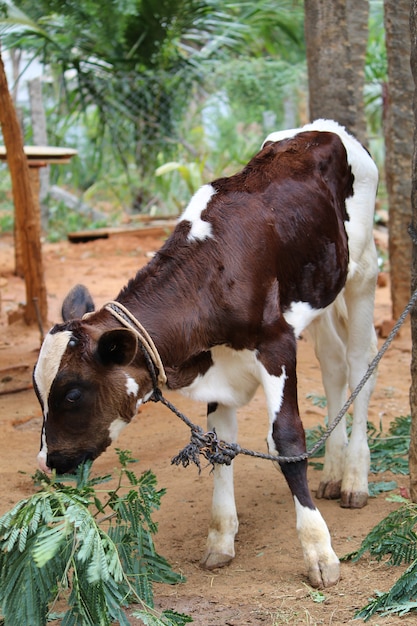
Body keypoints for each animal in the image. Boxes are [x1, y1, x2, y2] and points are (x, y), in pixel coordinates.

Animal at [32, 119, 376, 588]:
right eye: (39, 394)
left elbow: (286, 439)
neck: (215, 269)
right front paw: (220, 540)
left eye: (71, 393)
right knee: (334, 366)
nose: (47, 460)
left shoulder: (277, 344)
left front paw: (318, 552)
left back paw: (355, 479)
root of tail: (324, 127)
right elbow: (220, 443)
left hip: (363, 273)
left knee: (360, 365)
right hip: (323, 290)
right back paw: (335, 471)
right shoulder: (217, 361)